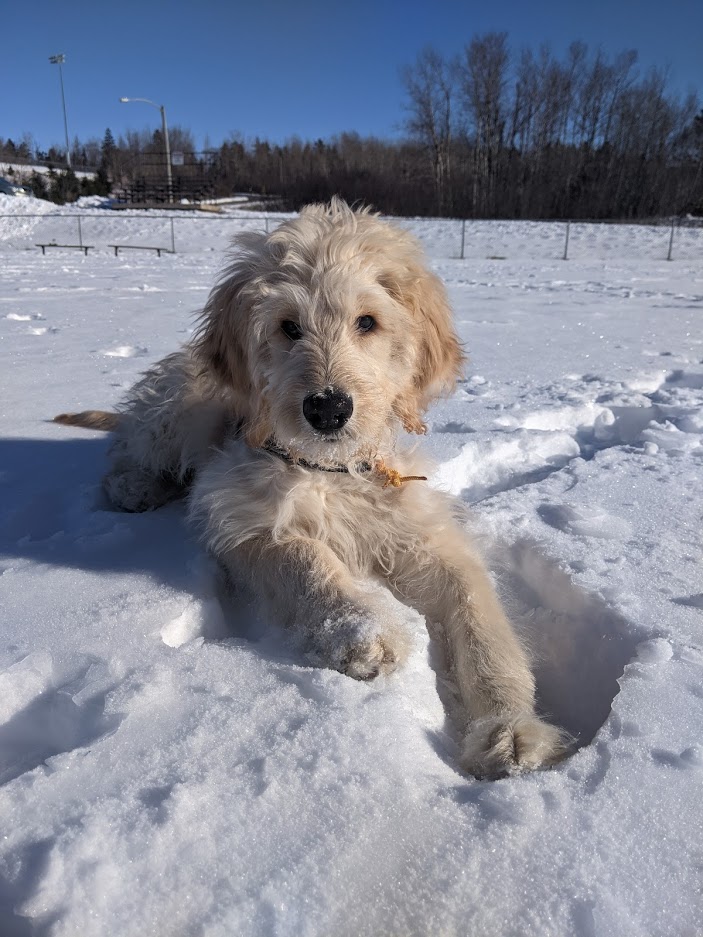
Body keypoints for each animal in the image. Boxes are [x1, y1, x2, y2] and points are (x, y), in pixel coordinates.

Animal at [59, 201, 568, 780]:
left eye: (367, 322)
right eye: (288, 327)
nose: (327, 409)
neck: (330, 470)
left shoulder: (420, 534)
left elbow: (481, 616)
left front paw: (510, 729)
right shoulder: (242, 518)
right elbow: (305, 559)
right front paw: (362, 632)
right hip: (178, 409)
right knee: (128, 450)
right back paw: (136, 485)